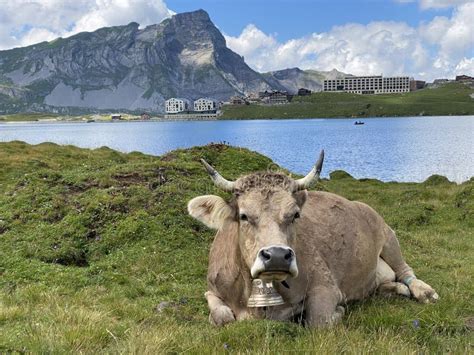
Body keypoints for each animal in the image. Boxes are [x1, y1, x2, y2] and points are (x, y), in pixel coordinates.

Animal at [187, 152, 438, 328]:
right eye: (243, 215)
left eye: (295, 214)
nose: (277, 256)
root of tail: (359, 204)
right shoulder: (211, 289)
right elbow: (222, 316)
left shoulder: (326, 285)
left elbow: (318, 320)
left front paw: (338, 312)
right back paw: (394, 289)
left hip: (387, 235)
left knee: (405, 270)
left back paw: (423, 292)